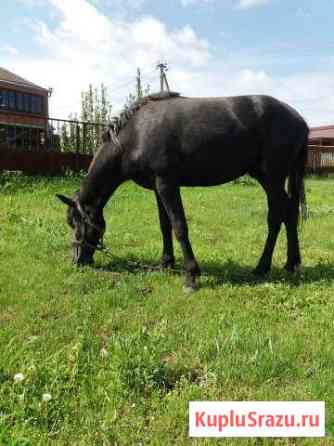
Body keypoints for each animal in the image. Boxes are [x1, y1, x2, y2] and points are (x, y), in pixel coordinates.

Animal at [56, 93, 308, 290]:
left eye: (77, 222)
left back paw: (262, 267)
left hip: (272, 178)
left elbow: (179, 227)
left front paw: (191, 275)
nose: (77, 260)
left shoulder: (167, 184)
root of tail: (299, 119)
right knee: (289, 213)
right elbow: (164, 225)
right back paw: (291, 263)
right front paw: (166, 263)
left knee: (276, 217)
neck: (136, 134)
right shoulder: (157, 187)